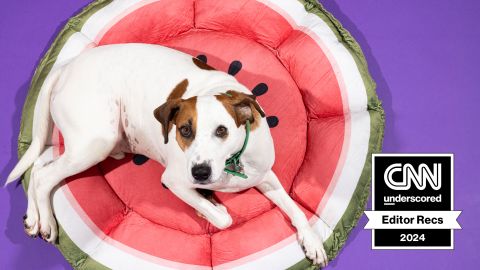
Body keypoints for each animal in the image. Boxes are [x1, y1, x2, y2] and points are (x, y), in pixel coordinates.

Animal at [7, 43, 328, 266]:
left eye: (222, 130)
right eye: (184, 130)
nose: (200, 173)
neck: (231, 163)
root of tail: (67, 65)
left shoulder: (266, 175)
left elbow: (295, 208)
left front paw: (312, 241)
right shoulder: (173, 181)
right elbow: (222, 219)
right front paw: (209, 206)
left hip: (84, 147)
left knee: (39, 166)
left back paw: (34, 218)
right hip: (95, 142)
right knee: (45, 175)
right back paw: (47, 223)